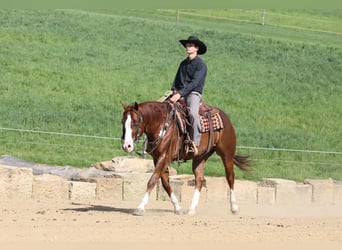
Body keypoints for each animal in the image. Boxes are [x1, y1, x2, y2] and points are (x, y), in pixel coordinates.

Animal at [121, 100, 250, 215]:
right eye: (123, 122)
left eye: (136, 122)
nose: (127, 146)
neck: (162, 125)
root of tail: (225, 117)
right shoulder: (157, 158)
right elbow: (165, 182)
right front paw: (178, 208)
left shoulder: (165, 157)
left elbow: (152, 180)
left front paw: (140, 207)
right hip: (200, 157)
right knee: (199, 179)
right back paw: (192, 209)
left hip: (227, 154)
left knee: (230, 177)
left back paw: (234, 207)